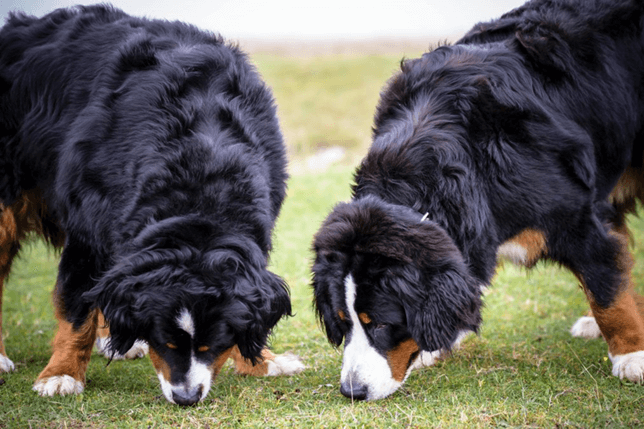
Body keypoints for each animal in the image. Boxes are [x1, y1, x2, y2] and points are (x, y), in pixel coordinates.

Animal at [0, 4, 304, 404]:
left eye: (214, 343)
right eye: (166, 341)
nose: (186, 397)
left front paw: (263, 361)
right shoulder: (87, 229)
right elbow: (77, 306)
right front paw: (62, 374)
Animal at [312, 0, 644, 402]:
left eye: (379, 323)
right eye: (343, 323)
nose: (352, 390)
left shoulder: (577, 219)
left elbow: (607, 292)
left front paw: (632, 356)